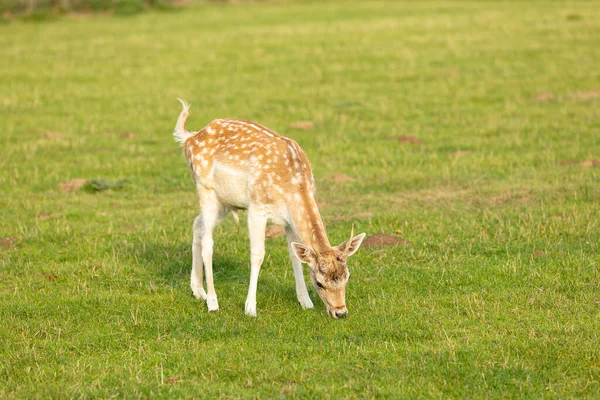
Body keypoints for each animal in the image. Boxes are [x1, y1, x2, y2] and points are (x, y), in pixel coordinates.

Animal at [171, 100, 364, 318]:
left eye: (347, 277)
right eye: (319, 283)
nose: (341, 312)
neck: (294, 186)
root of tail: (189, 138)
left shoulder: (288, 220)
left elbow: (294, 256)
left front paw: (305, 302)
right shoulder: (257, 207)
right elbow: (257, 254)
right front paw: (250, 308)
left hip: (226, 202)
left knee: (197, 224)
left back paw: (198, 291)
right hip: (205, 189)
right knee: (208, 242)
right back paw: (212, 301)